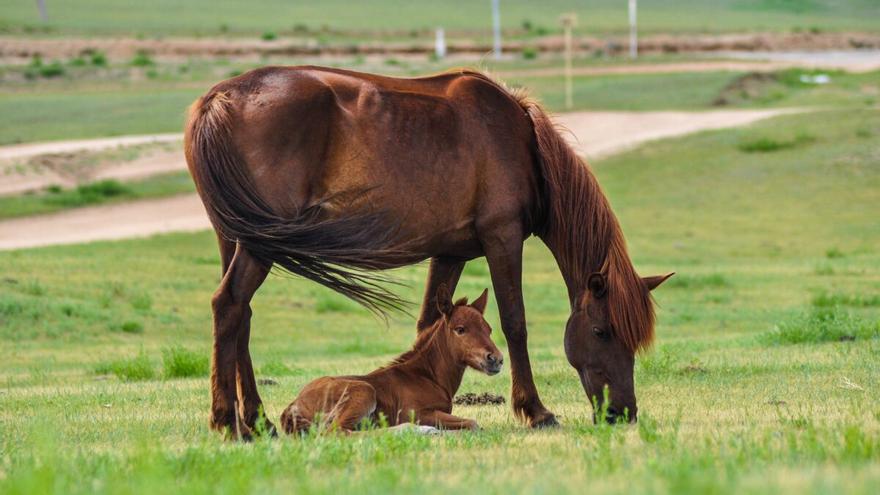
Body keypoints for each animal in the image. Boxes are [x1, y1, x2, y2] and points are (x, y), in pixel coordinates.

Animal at [282, 286, 502, 434]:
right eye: (460, 329)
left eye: (489, 329)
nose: (496, 359)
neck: (427, 376)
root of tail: (293, 405)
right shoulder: (417, 412)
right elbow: (472, 423)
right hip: (363, 391)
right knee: (339, 432)